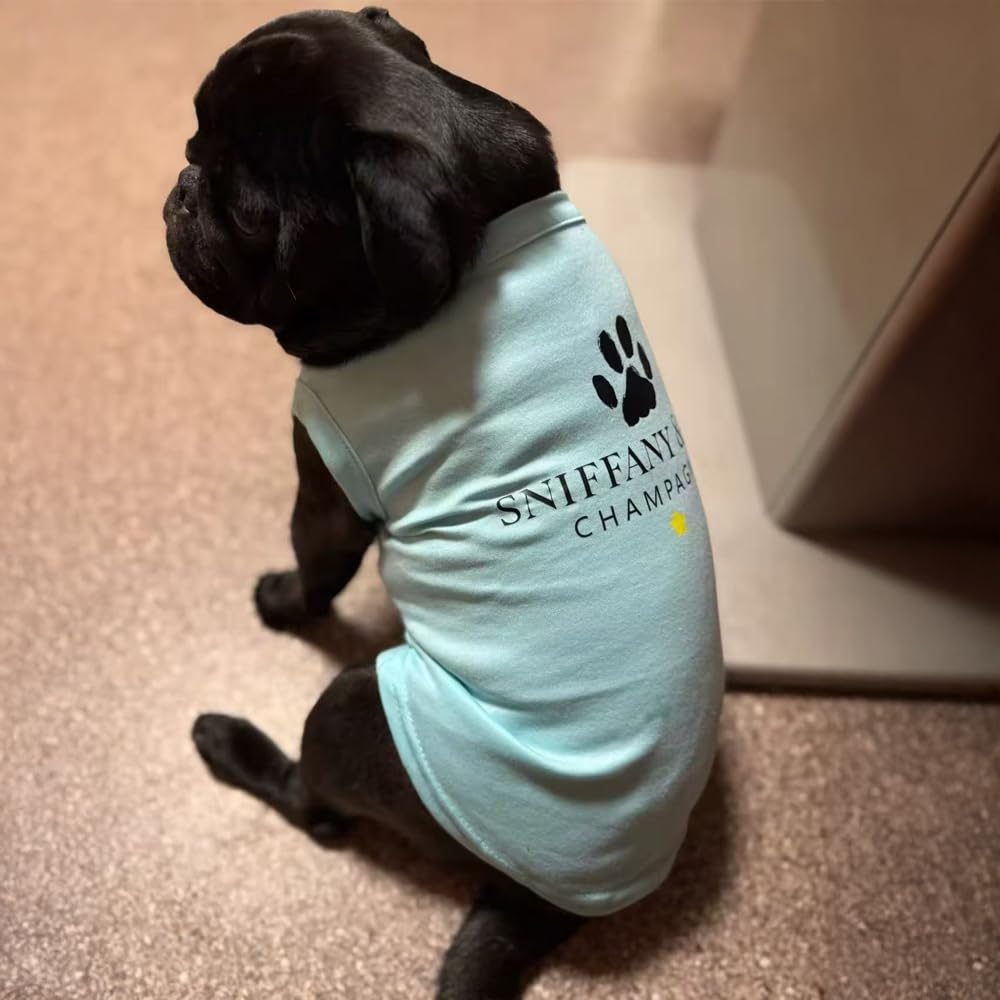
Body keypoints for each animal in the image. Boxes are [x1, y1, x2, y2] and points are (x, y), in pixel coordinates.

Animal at [163, 8, 724, 998]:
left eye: (245, 207)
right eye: (198, 148)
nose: (184, 183)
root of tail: (552, 907)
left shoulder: (327, 480)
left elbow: (315, 565)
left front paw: (280, 602)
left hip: (350, 709)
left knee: (317, 810)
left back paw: (231, 741)